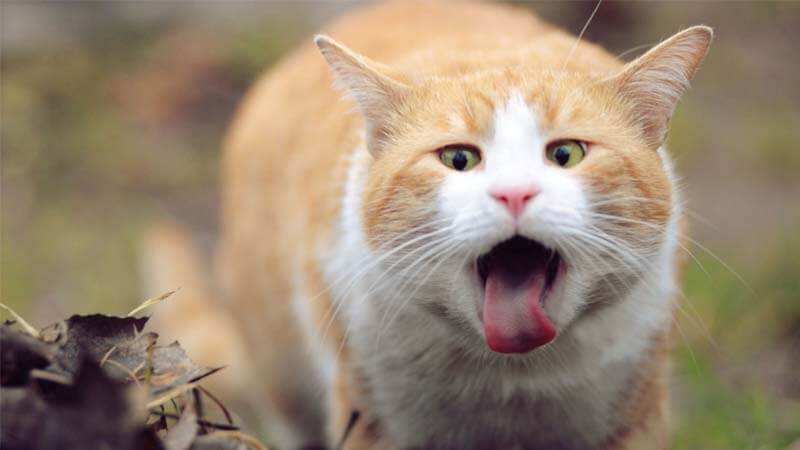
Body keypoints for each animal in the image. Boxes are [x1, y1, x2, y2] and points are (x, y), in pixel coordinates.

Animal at [142, 0, 712, 450]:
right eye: (459, 159)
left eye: (566, 154)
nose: (515, 193)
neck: (511, 380)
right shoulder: (369, 415)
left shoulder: (636, 412)